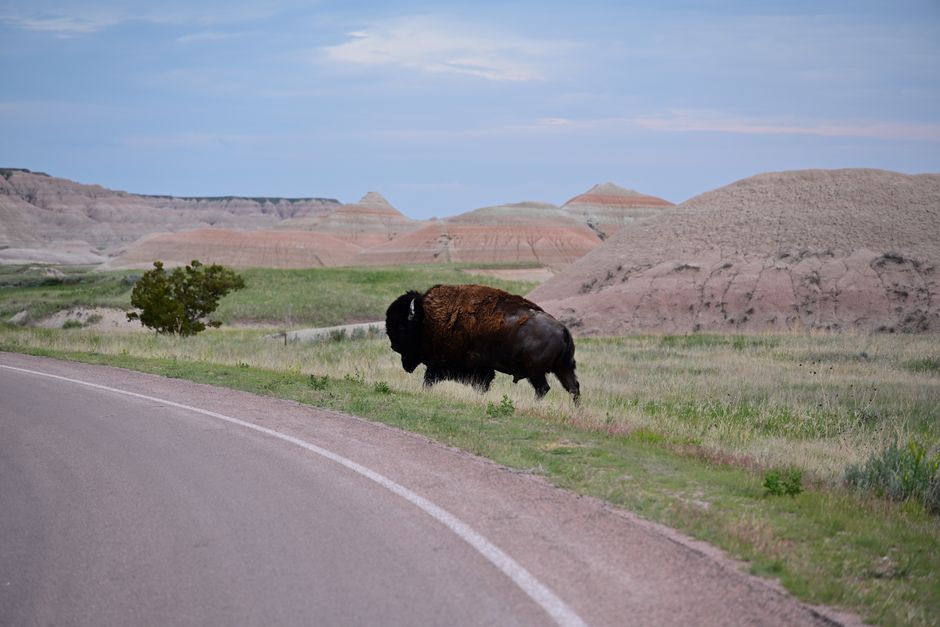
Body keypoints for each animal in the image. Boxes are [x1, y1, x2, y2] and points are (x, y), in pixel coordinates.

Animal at [385, 284, 580, 403]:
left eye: (402, 326)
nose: (393, 346)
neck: (426, 319)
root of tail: (563, 329)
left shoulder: (444, 365)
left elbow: (429, 379)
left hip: (536, 371)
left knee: (543, 388)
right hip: (562, 368)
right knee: (573, 387)